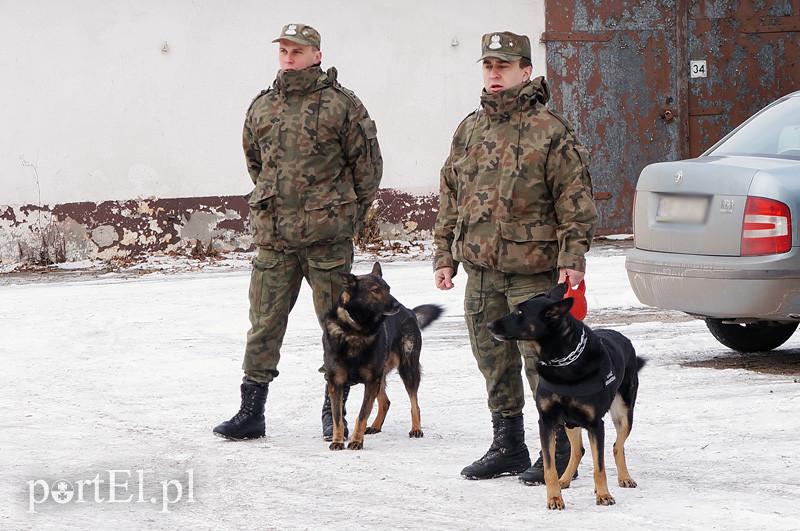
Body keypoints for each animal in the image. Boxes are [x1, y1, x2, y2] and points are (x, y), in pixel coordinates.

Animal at [322, 264, 444, 450]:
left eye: (388, 289)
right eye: (375, 290)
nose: (397, 305)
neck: (356, 330)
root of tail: (410, 312)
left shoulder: (371, 381)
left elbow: (362, 415)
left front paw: (356, 441)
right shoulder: (336, 382)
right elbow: (337, 418)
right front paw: (337, 441)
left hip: (407, 370)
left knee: (414, 403)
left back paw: (416, 429)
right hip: (381, 377)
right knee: (385, 402)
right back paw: (376, 426)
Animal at [484, 284, 648, 510]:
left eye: (520, 313)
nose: (489, 325)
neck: (561, 361)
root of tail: (623, 337)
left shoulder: (595, 424)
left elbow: (599, 467)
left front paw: (603, 495)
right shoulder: (547, 421)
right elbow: (549, 468)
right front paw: (554, 497)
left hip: (623, 413)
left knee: (617, 446)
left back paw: (624, 477)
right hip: (569, 422)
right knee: (579, 450)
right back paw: (565, 479)